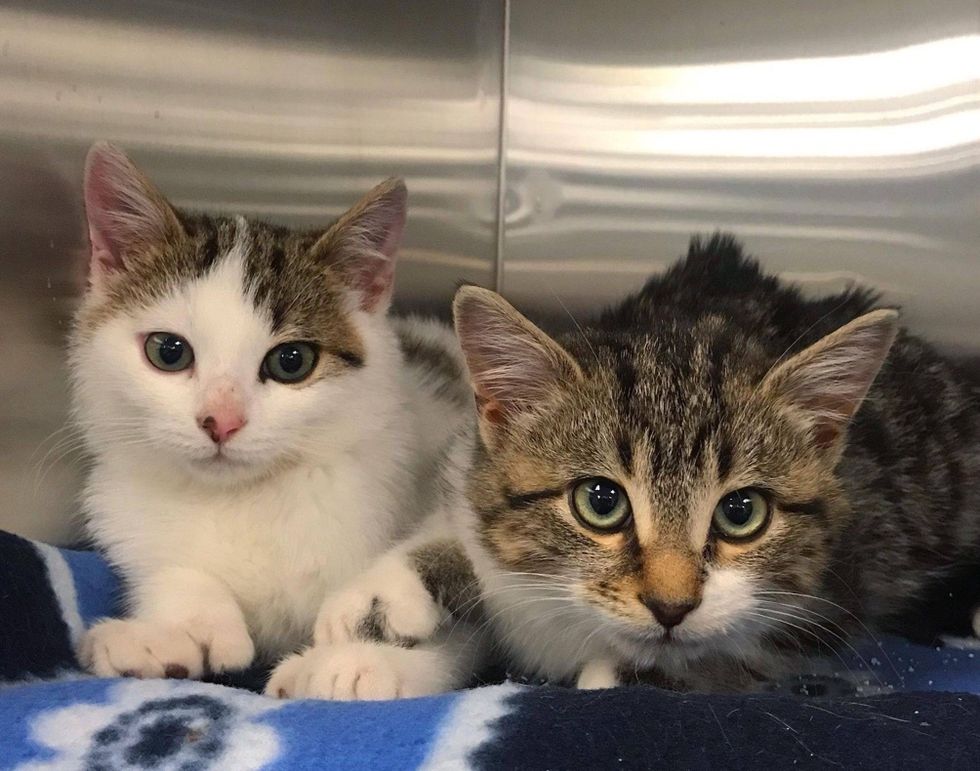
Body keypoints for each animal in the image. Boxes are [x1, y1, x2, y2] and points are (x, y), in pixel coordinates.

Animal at [71, 140, 468, 688]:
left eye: (291, 362)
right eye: (168, 352)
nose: (221, 420)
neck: (245, 498)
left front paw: (356, 662)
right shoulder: (125, 511)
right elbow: (170, 567)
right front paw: (168, 633)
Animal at [270, 238, 980, 696]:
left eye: (741, 513)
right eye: (600, 502)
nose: (671, 606)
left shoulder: (838, 591)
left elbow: (736, 659)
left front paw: (626, 673)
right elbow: (472, 549)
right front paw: (370, 614)